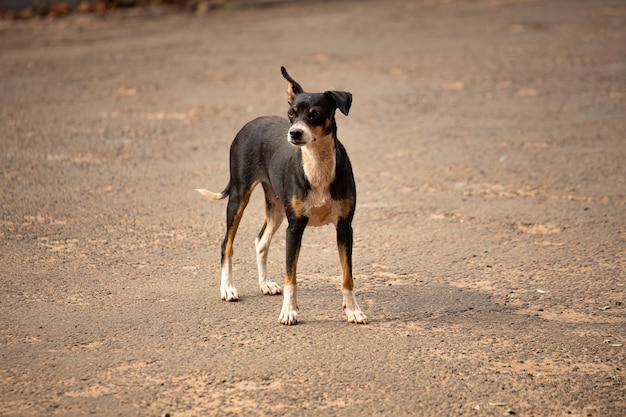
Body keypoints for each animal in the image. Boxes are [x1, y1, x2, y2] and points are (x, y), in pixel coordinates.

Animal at [196, 66, 366, 324]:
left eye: (315, 114)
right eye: (291, 114)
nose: (294, 133)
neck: (317, 164)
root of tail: (251, 122)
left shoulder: (345, 227)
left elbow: (347, 276)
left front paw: (353, 310)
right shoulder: (294, 228)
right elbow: (291, 277)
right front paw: (289, 312)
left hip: (276, 207)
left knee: (260, 241)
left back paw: (265, 284)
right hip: (239, 196)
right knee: (227, 243)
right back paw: (227, 288)